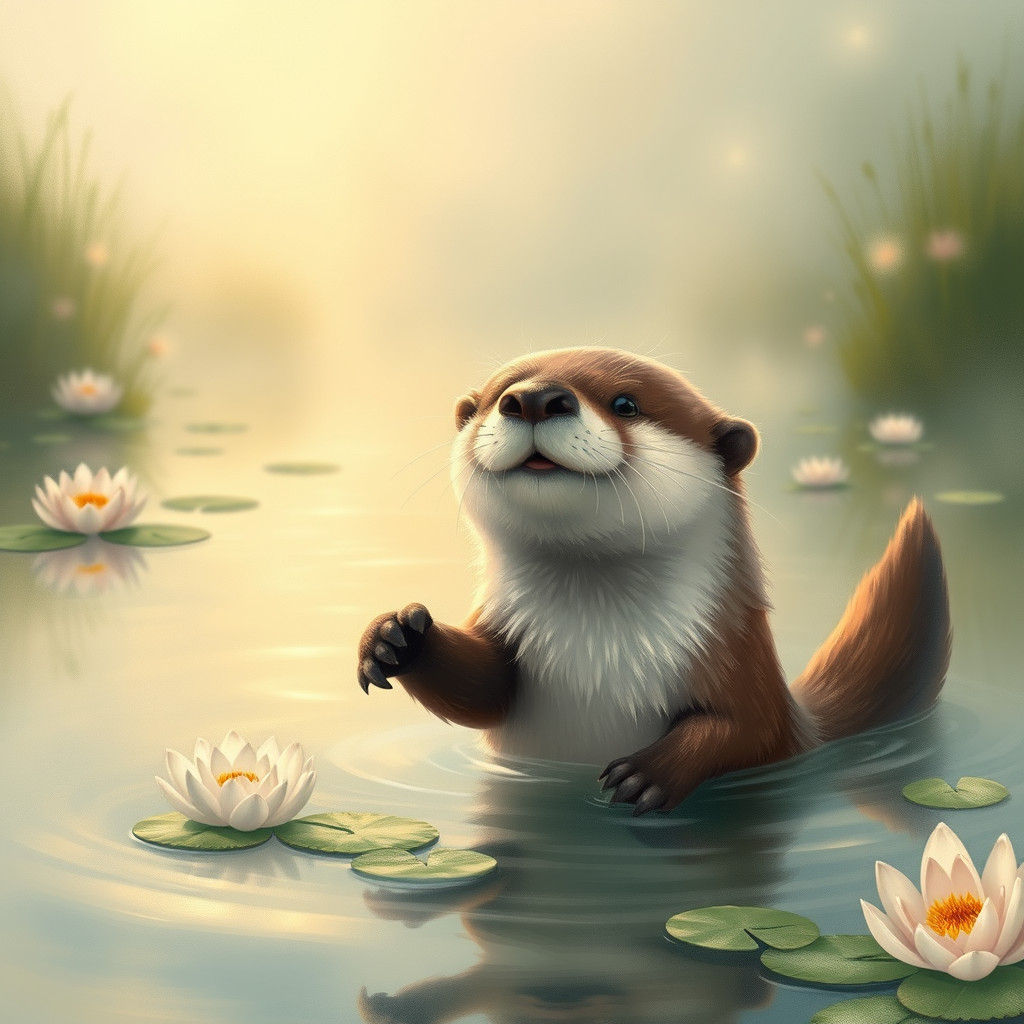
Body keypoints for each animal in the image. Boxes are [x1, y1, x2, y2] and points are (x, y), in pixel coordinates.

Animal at [357, 347, 950, 815]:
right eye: (501, 392)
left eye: (626, 403)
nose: (534, 398)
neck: (595, 650)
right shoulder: (507, 637)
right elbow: (481, 690)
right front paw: (397, 636)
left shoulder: (734, 654)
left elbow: (745, 726)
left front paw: (647, 775)